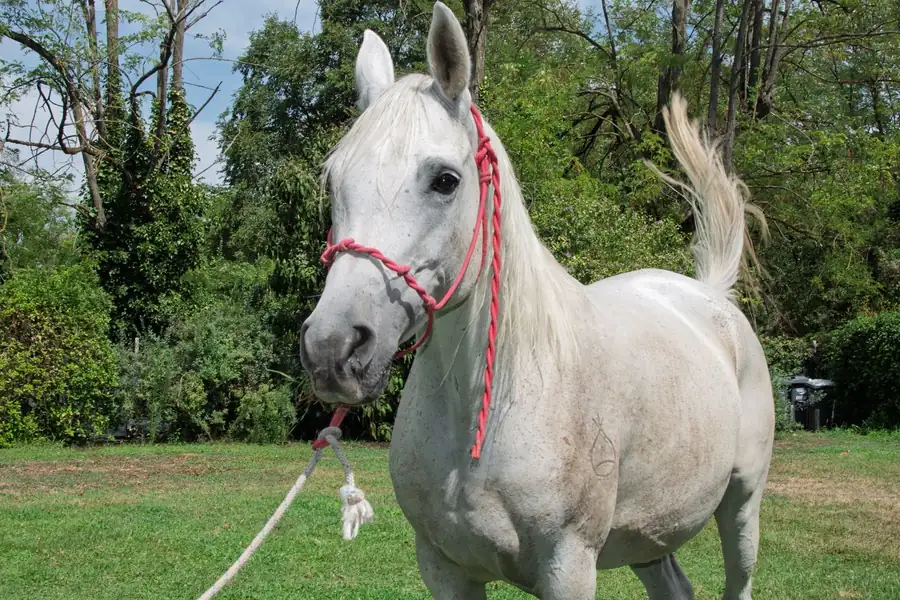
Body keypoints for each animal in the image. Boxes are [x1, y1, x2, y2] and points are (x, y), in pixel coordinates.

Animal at [299, 3, 774, 598]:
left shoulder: (568, 566)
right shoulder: (443, 567)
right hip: (650, 536)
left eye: (445, 180)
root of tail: (711, 294)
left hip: (742, 508)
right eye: (332, 180)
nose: (332, 349)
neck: (495, 400)